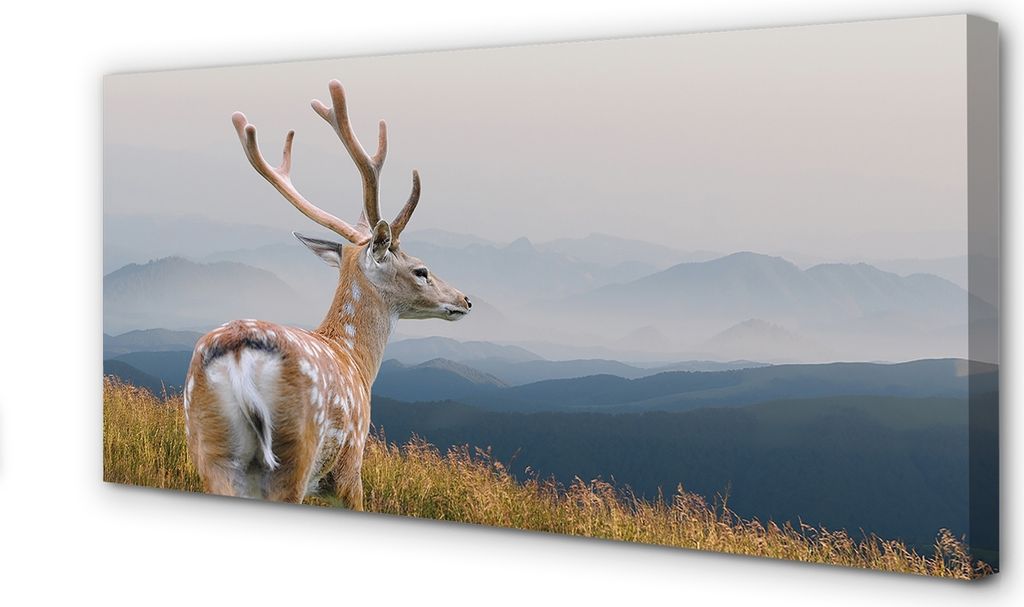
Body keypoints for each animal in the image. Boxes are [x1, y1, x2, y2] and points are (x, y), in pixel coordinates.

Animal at [182, 80, 471, 509]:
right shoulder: (351, 464)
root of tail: (237, 355)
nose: (465, 300)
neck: (356, 360)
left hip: (208, 447)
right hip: (294, 453)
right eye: (421, 270)